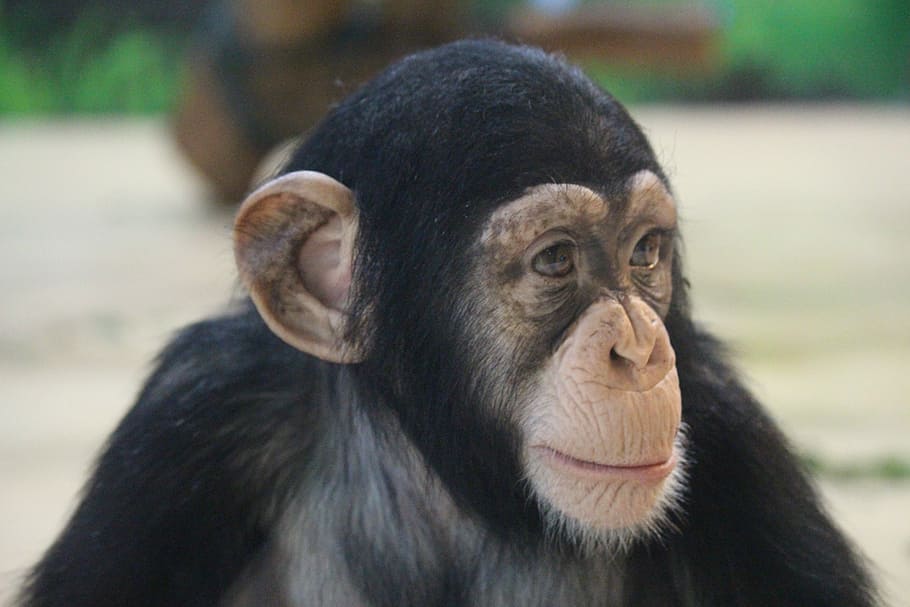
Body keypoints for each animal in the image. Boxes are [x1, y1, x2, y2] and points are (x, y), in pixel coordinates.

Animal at [18, 40, 878, 606]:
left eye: (644, 252)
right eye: (555, 260)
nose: (637, 348)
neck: (455, 481)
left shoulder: (737, 446)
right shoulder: (189, 423)